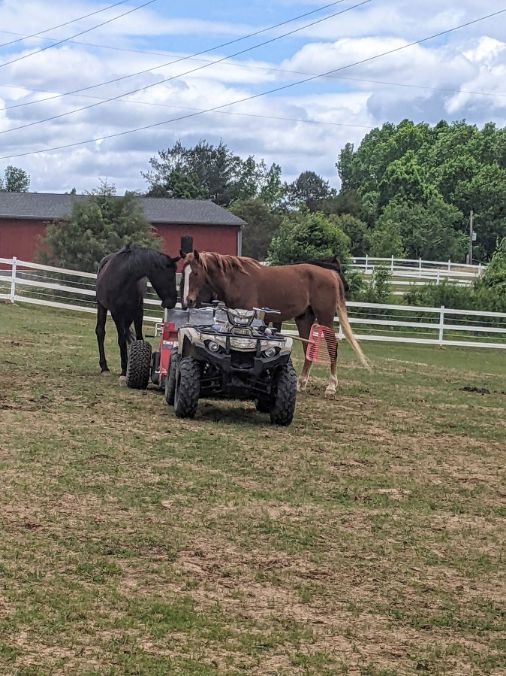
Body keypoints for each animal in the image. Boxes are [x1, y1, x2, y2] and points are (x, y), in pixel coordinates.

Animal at [95, 244, 179, 381]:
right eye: (170, 276)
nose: (171, 302)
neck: (124, 278)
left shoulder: (138, 312)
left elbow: (138, 337)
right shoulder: (117, 313)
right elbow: (121, 340)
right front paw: (124, 371)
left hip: (128, 316)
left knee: (128, 334)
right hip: (102, 306)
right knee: (101, 332)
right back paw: (104, 368)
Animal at [181, 251, 370, 397]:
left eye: (195, 273)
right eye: (184, 272)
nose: (188, 301)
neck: (237, 280)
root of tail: (330, 275)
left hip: (325, 317)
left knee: (331, 346)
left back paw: (331, 386)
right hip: (304, 318)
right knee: (309, 347)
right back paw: (301, 383)